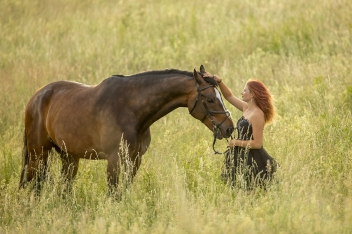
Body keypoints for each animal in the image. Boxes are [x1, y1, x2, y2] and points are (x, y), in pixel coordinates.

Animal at [19, 65, 234, 197]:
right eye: (209, 99)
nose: (229, 128)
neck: (131, 109)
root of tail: (36, 98)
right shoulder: (114, 160)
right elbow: (113, 193)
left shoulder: (135, 159)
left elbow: (125, 191)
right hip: (38, 154)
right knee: (29, 184)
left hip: (69, 157)